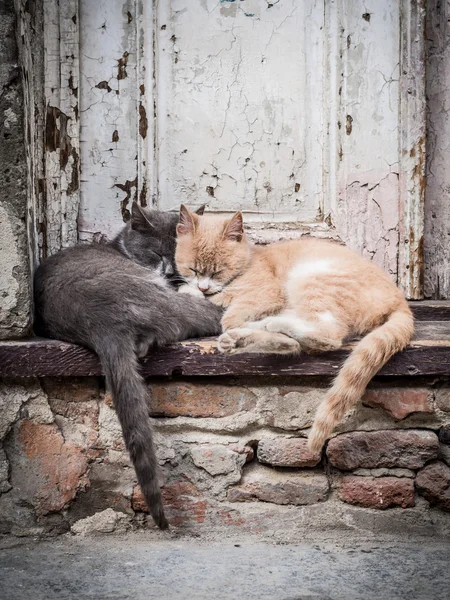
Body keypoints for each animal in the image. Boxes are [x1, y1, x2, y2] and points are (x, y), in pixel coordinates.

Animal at [174, 206, 414, 450]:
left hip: (312, 278)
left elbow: (228, 313)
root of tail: (400, 300)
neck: (250, 261)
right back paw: (246, 337)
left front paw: (203, 295)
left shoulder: (266, 294)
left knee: (328, 336)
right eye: (192, 269)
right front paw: (193, 291)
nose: (204, 287)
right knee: (298, 342)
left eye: (218, 272)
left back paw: (266, 327)